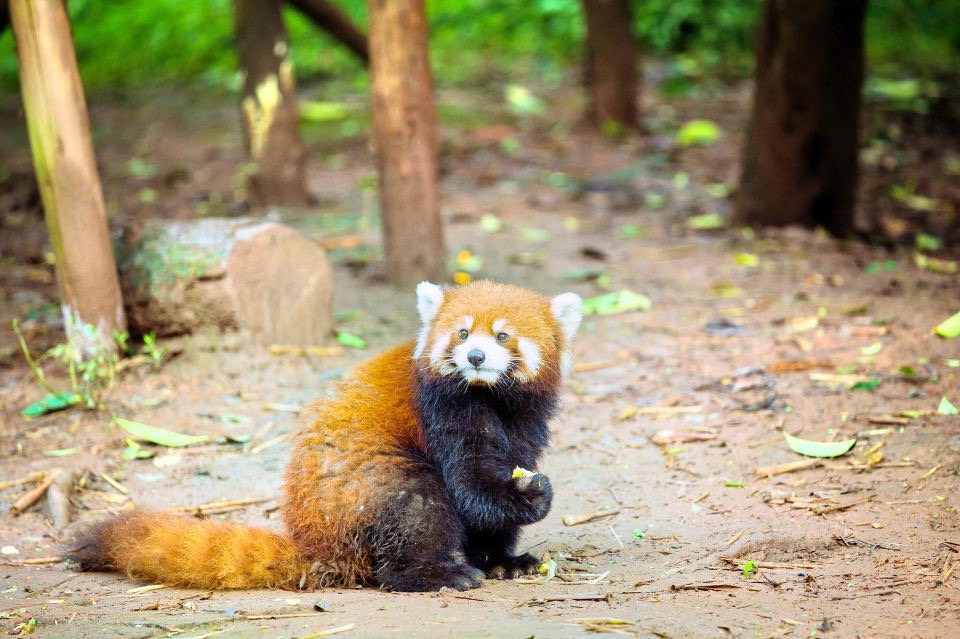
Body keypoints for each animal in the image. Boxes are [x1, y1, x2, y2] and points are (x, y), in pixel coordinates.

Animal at [71, 282, 580, 592]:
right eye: (461, 332)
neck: (492, 397)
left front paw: (501, 558)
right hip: (373, 486)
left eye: (503, 336)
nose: (475, 356)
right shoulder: (443, 409)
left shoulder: (526, 420)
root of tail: (317, 544)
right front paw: (530, 496)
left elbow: (497, 487)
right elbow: (471, 483)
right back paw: (438, 573)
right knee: (418, 506)